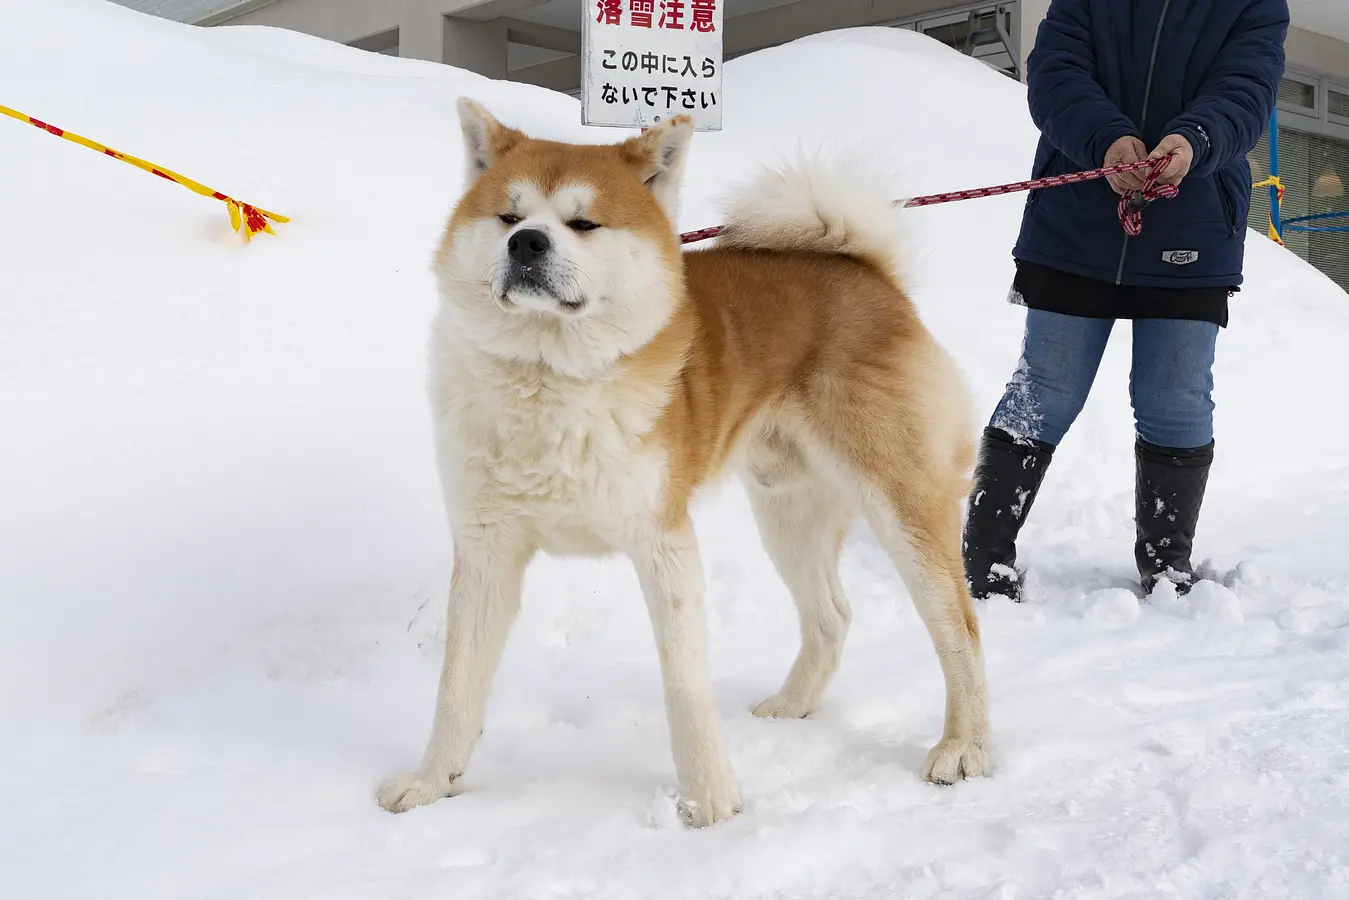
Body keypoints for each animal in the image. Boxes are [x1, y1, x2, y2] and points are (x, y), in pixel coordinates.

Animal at [380, 100, 992, 831]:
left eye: (583, 223)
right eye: (508, 214)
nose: (526, 243)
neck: (548, 378)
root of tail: (869, 274)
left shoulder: (663, 544)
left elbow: (683, 685)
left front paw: (708, 800)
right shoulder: (486, 551)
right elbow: (457, 688)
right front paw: (431, 784)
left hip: (900, 505)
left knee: (958, 627)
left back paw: (964, 748)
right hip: (788, 514)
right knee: (831, 617)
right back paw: (792, 706)